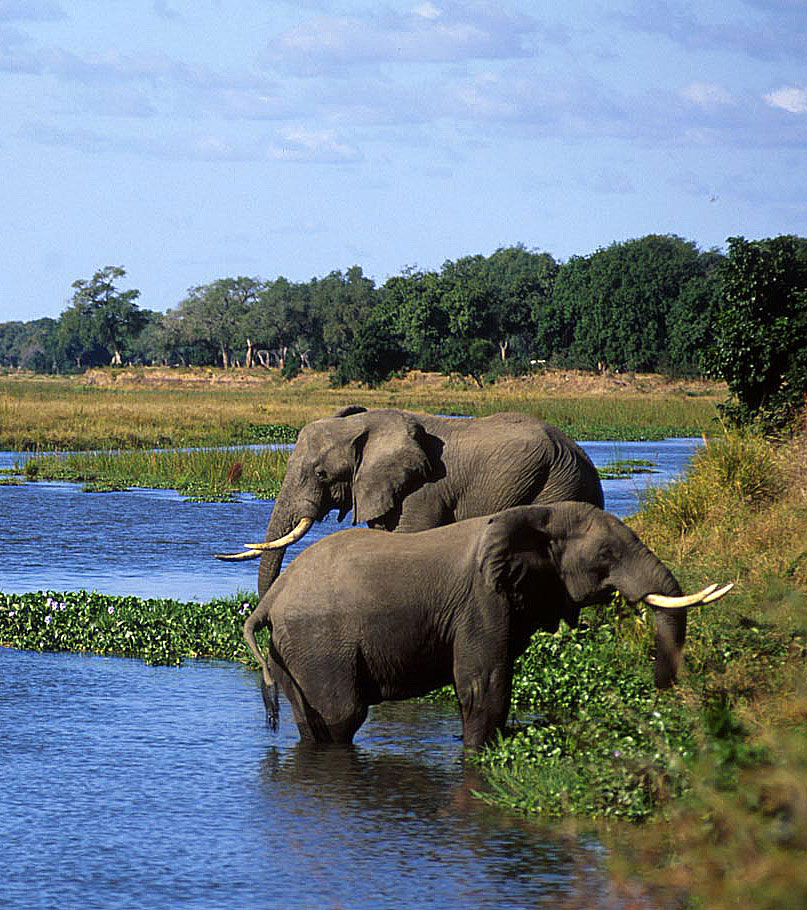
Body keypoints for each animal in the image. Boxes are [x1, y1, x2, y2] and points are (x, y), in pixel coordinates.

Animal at [240, 502, 732, 752]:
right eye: (606, 555)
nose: (662, 692)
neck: (536, 515)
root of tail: (270, 600)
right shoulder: (482, 599)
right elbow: (484, 684)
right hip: (318, 645)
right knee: (343, 715)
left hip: (292, 651)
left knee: (313, 719)